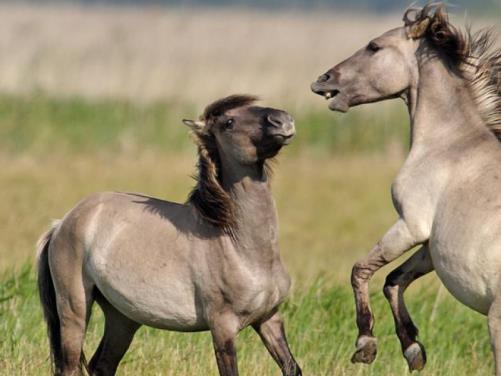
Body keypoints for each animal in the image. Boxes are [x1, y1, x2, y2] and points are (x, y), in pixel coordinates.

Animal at [37, 94, 300, 376]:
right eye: (228, 122)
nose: (283, 120)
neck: (239, 247)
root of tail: (62, 223)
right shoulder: (222, 327)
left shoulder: (269, 318)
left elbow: (292, 368)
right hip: (74, 309)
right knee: (71, 365)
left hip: (122, 318)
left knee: (102, 365)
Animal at [310, 2, 500, 374]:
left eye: (374, 47)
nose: (322, 81)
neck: (449, 143)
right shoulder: (430, 245)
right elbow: (394, 280)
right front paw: (413, 348)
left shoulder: (411, 225)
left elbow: (360, 270)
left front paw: (365, 345)